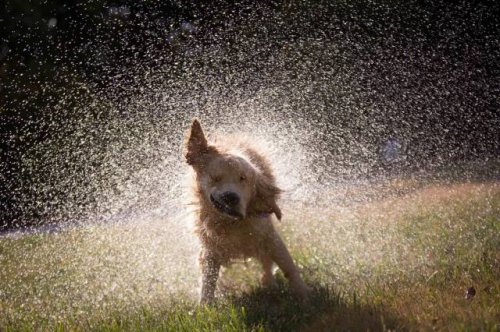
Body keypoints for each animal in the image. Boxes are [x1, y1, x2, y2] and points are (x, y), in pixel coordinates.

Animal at [184, 119, 308, 306]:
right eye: (215, 177)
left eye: (243, 178)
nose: (230, 197)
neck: (231, 222)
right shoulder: (211, 247)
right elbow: (208, 280)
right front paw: (205, 306)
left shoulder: (269, 236)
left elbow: (288, 267)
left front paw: (303, 295)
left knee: (267, 262)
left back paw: (269, 283)